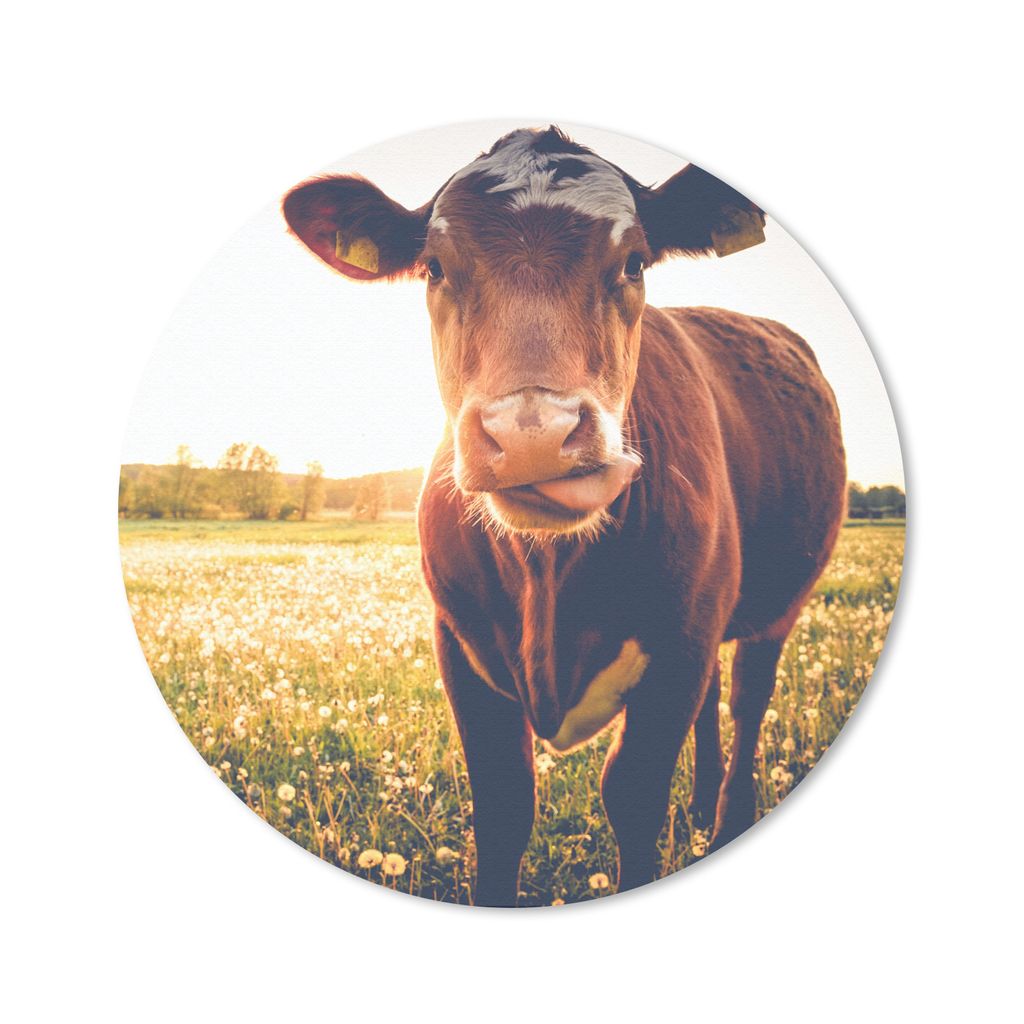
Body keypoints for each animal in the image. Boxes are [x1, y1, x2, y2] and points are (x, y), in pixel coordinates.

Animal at [283, 127, 846, 907]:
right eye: (434, 267)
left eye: (634, 261)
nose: (533, 433)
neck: (549, 577)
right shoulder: (459, 644)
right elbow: (504, 804)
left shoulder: (679, 646)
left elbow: (633, 794)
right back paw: (701, 807)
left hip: (774, 607)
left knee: (746, 700)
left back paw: (726, 818)